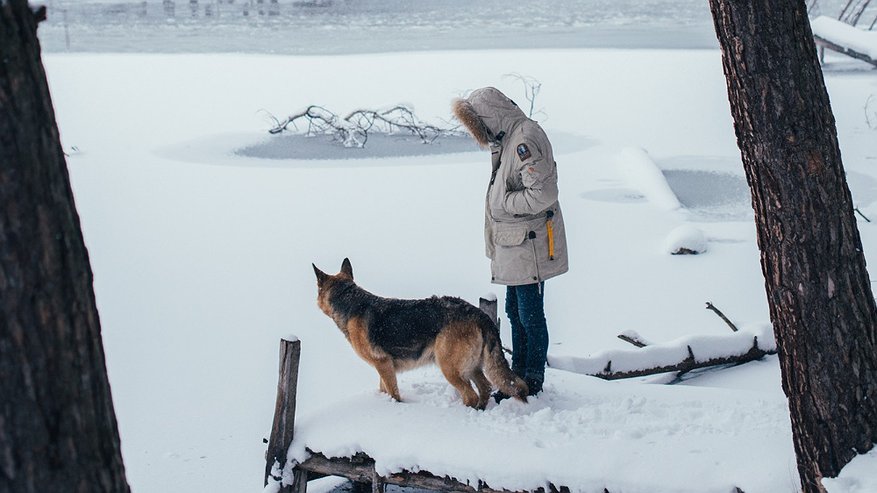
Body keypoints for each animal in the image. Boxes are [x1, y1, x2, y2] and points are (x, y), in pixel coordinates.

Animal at [314, 258, 528, 408]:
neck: (349, 300)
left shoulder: (383, 364)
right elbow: (384, 389)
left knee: (471, 395)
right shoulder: (384, 367)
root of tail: (479, 313)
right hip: (472, 367)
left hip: (450, 368)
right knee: (485, 388)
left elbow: (393, 394)